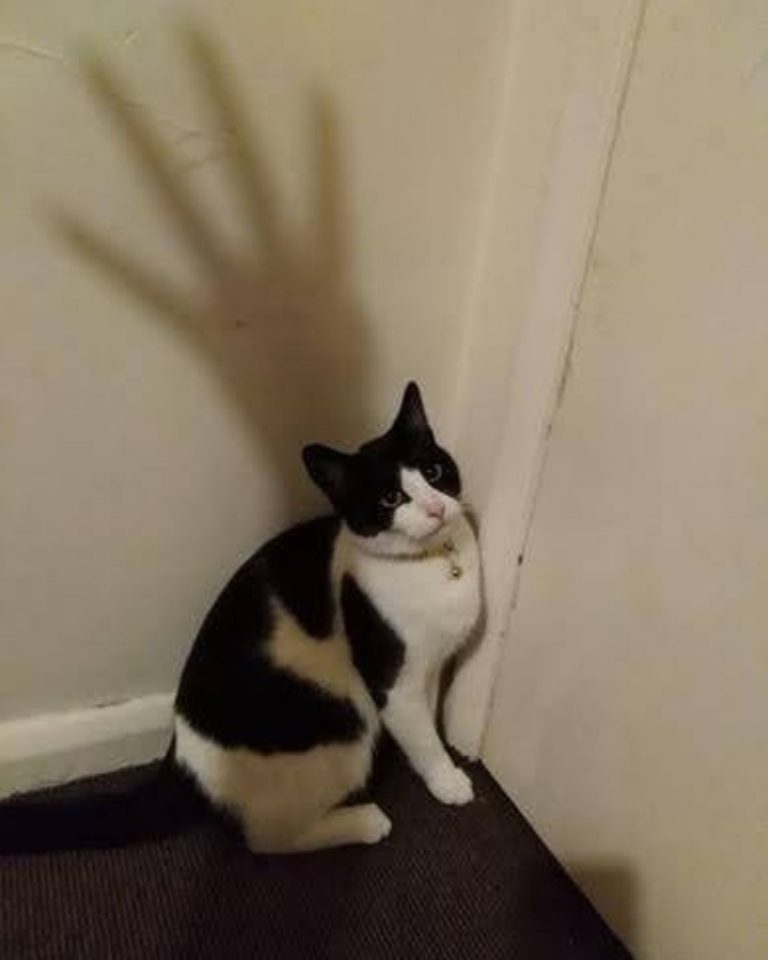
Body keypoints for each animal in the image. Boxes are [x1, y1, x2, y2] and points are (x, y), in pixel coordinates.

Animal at [0, 382, 481, 855]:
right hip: (343, 723)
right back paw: (363, 821)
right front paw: (447, 779)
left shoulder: (431, 665)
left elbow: (426, 716)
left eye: (434, 472)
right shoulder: (392, 682)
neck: (435, 562)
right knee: (268, 838)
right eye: (391, 498)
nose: (437, 508)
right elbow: (421, 735)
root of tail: (182, 755)